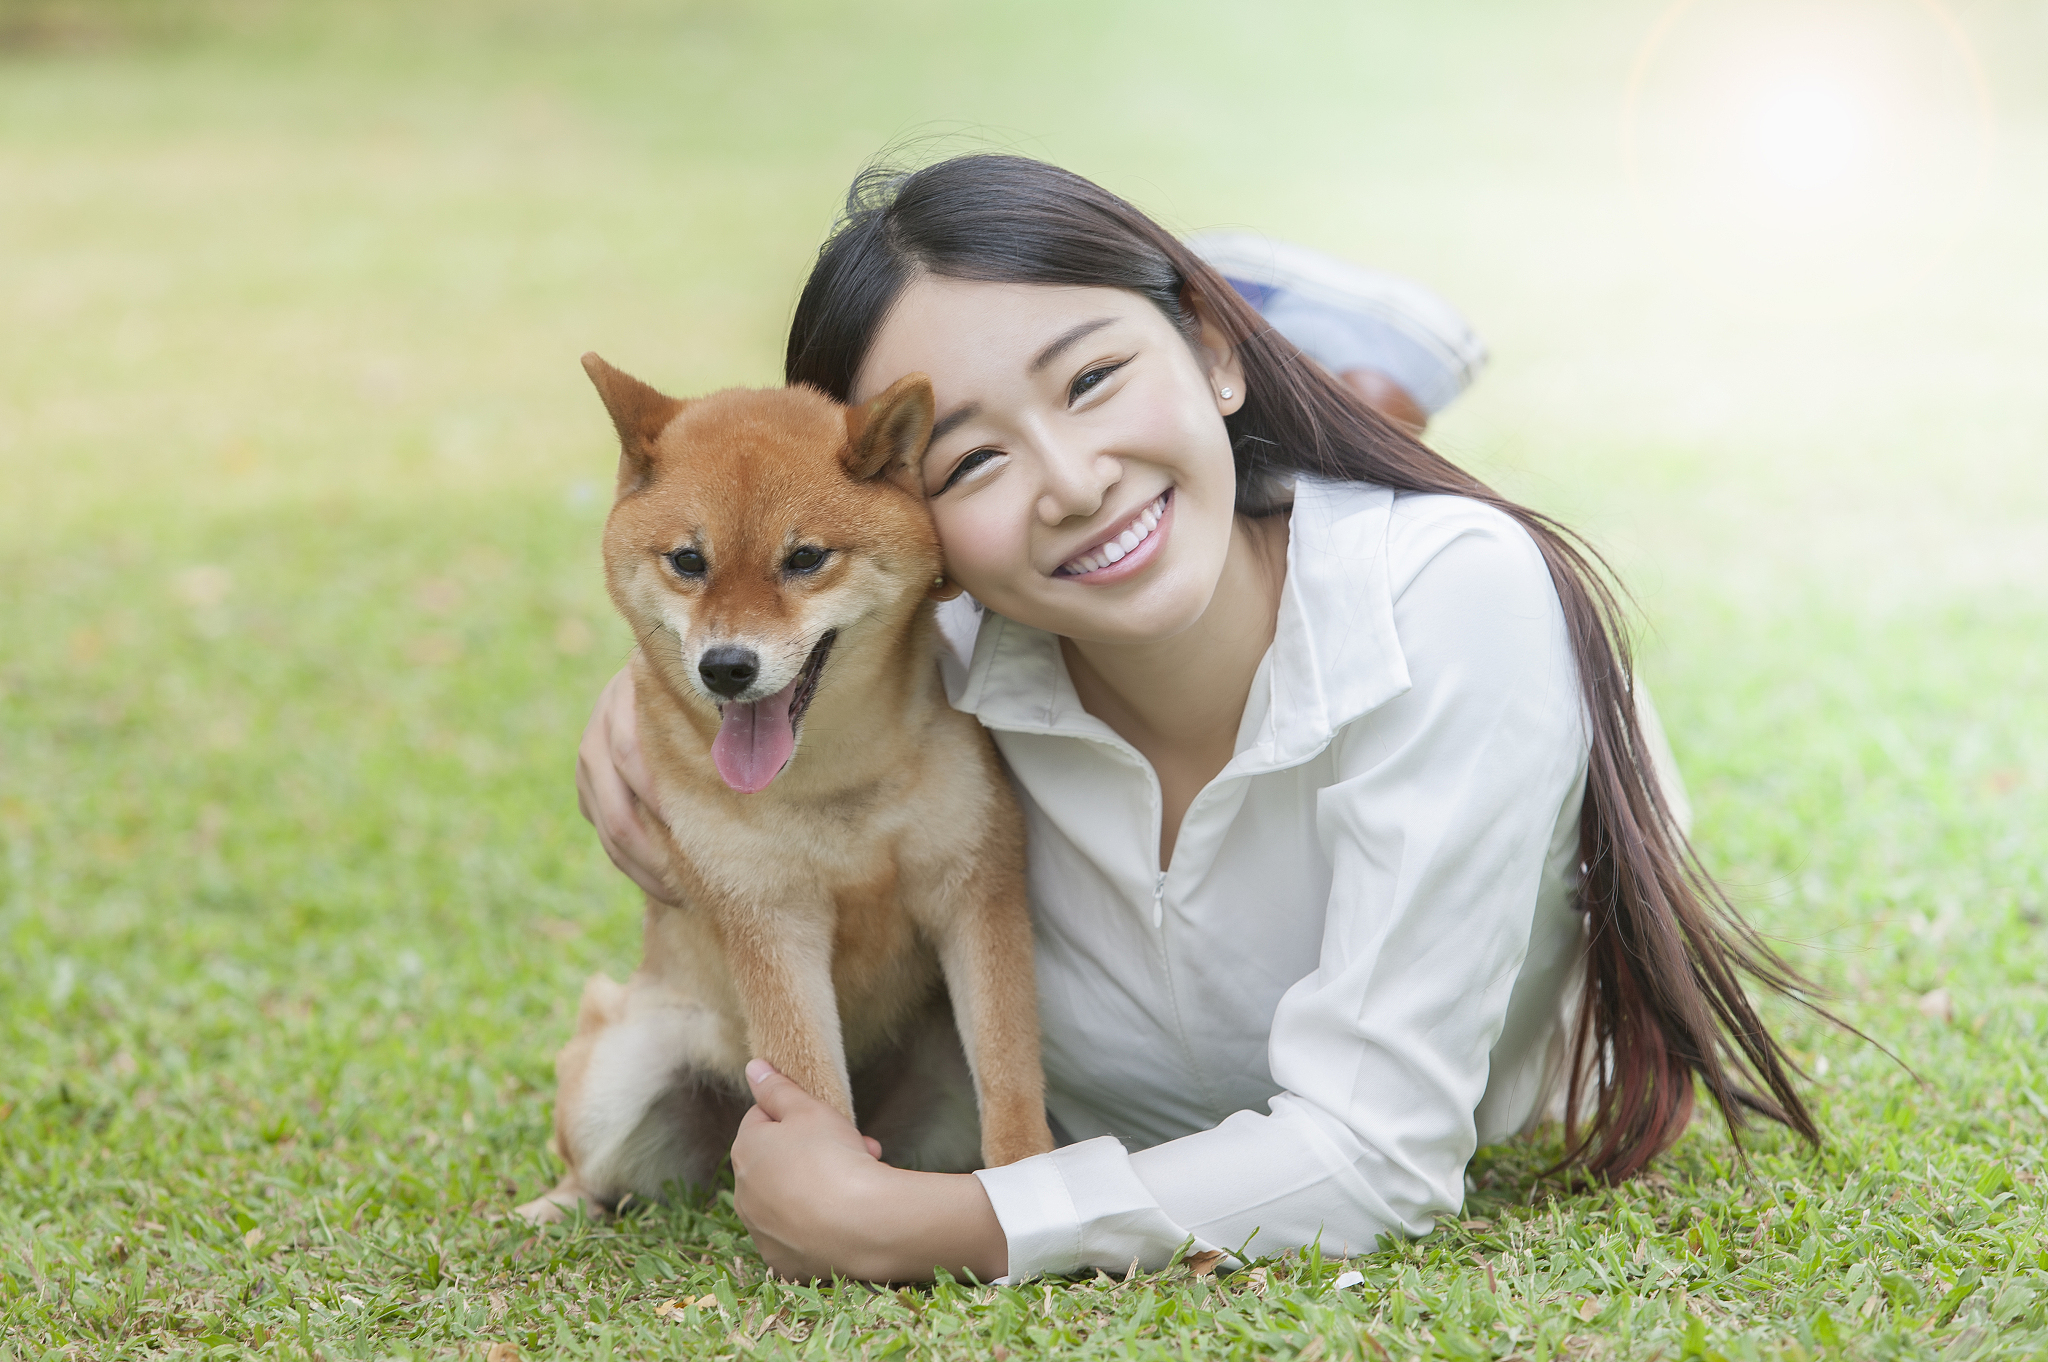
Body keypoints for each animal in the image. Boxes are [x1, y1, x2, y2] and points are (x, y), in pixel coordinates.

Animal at [520, 356, 1048, 1212]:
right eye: (688, 561)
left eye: (804, 559)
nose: (726, 667)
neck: (832, 779)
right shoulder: (771, 922)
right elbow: (813, 1088)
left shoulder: (977, 893)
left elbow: (1009, 1083)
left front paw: (1029, 1178)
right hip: (616, 1080)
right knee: (592, 1175)